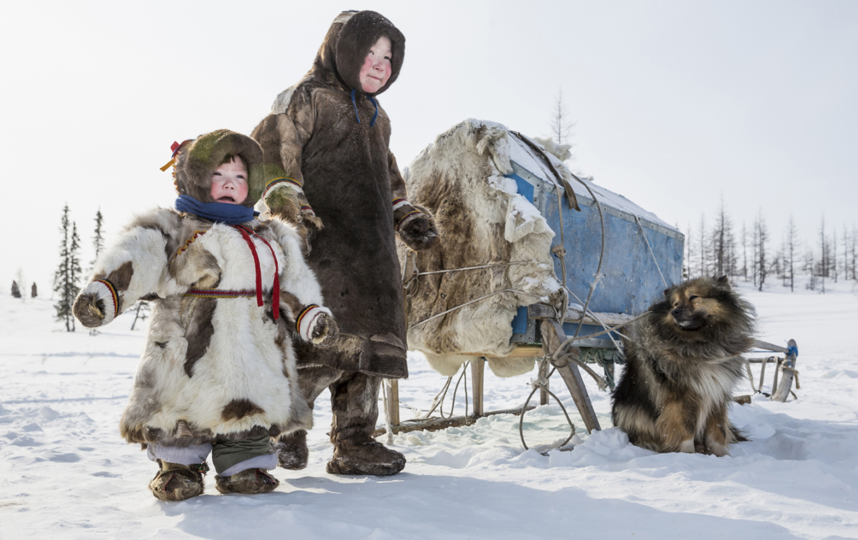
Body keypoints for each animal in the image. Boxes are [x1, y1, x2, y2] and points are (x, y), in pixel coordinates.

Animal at [612, 274, 752, 456]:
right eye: (674, 304)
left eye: (693, 297)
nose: (675, 312)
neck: (699, 345)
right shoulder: (680, 400)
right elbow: (685, 432)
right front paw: (688, 456)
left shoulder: (717, 395)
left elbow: (718, 432)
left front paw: (723, 456)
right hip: (633, 415)